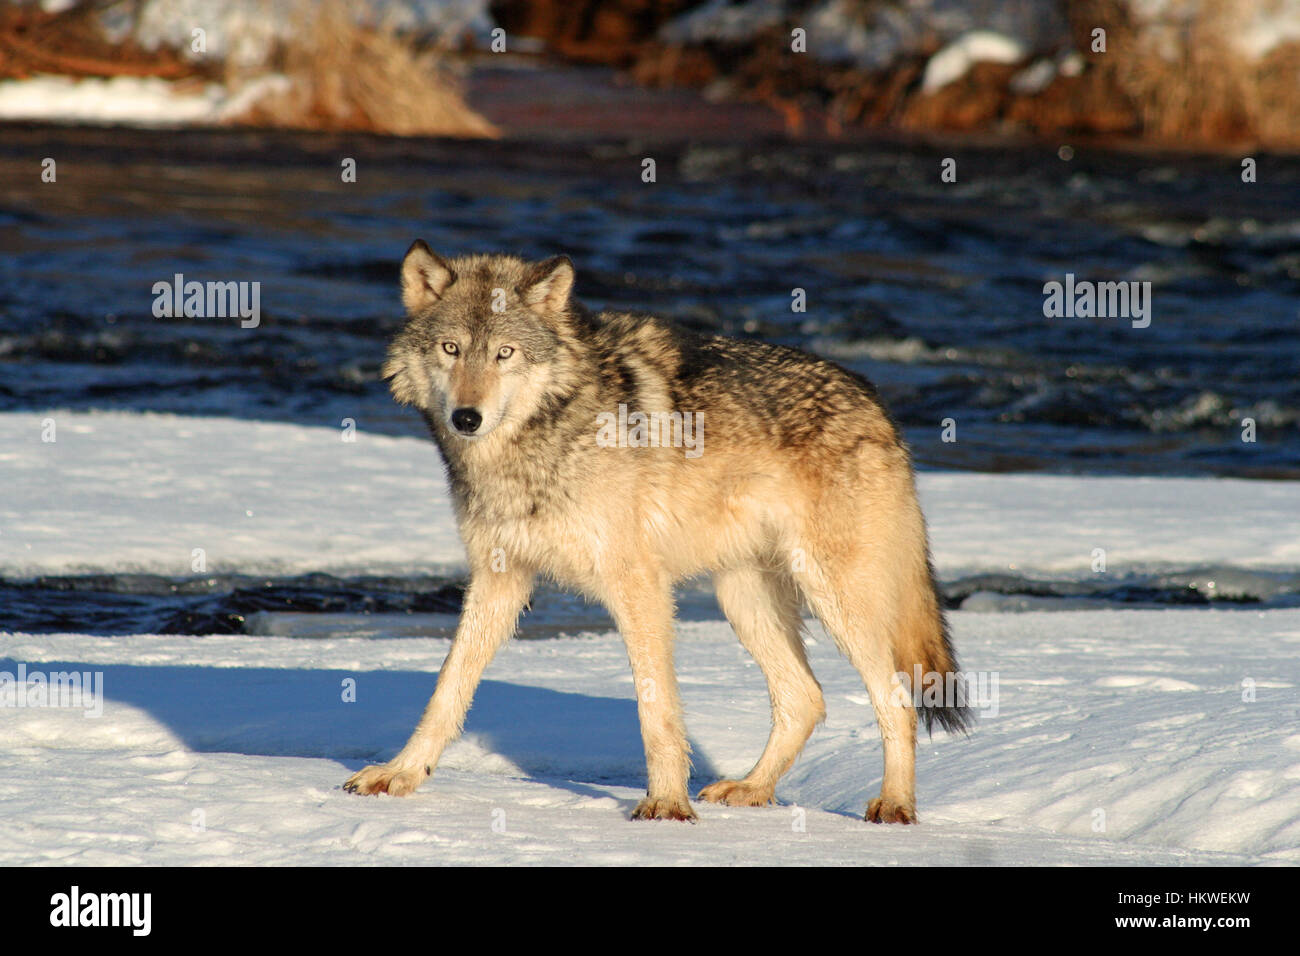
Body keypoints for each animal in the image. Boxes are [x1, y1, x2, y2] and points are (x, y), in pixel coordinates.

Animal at [340, 244, 972, 822]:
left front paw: (666, 805)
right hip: (744, 597)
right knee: (805, 699)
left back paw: (894, 804)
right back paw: (752, 790)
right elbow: (447, 690)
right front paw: (400, 774)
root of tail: (876, 401)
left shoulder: (638, 585)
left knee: (896, 699)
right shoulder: (500, 577)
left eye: (504, 353)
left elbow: (656, 708)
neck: (544, 439)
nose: (466, 418)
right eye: (451, 349)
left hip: (834, 595)